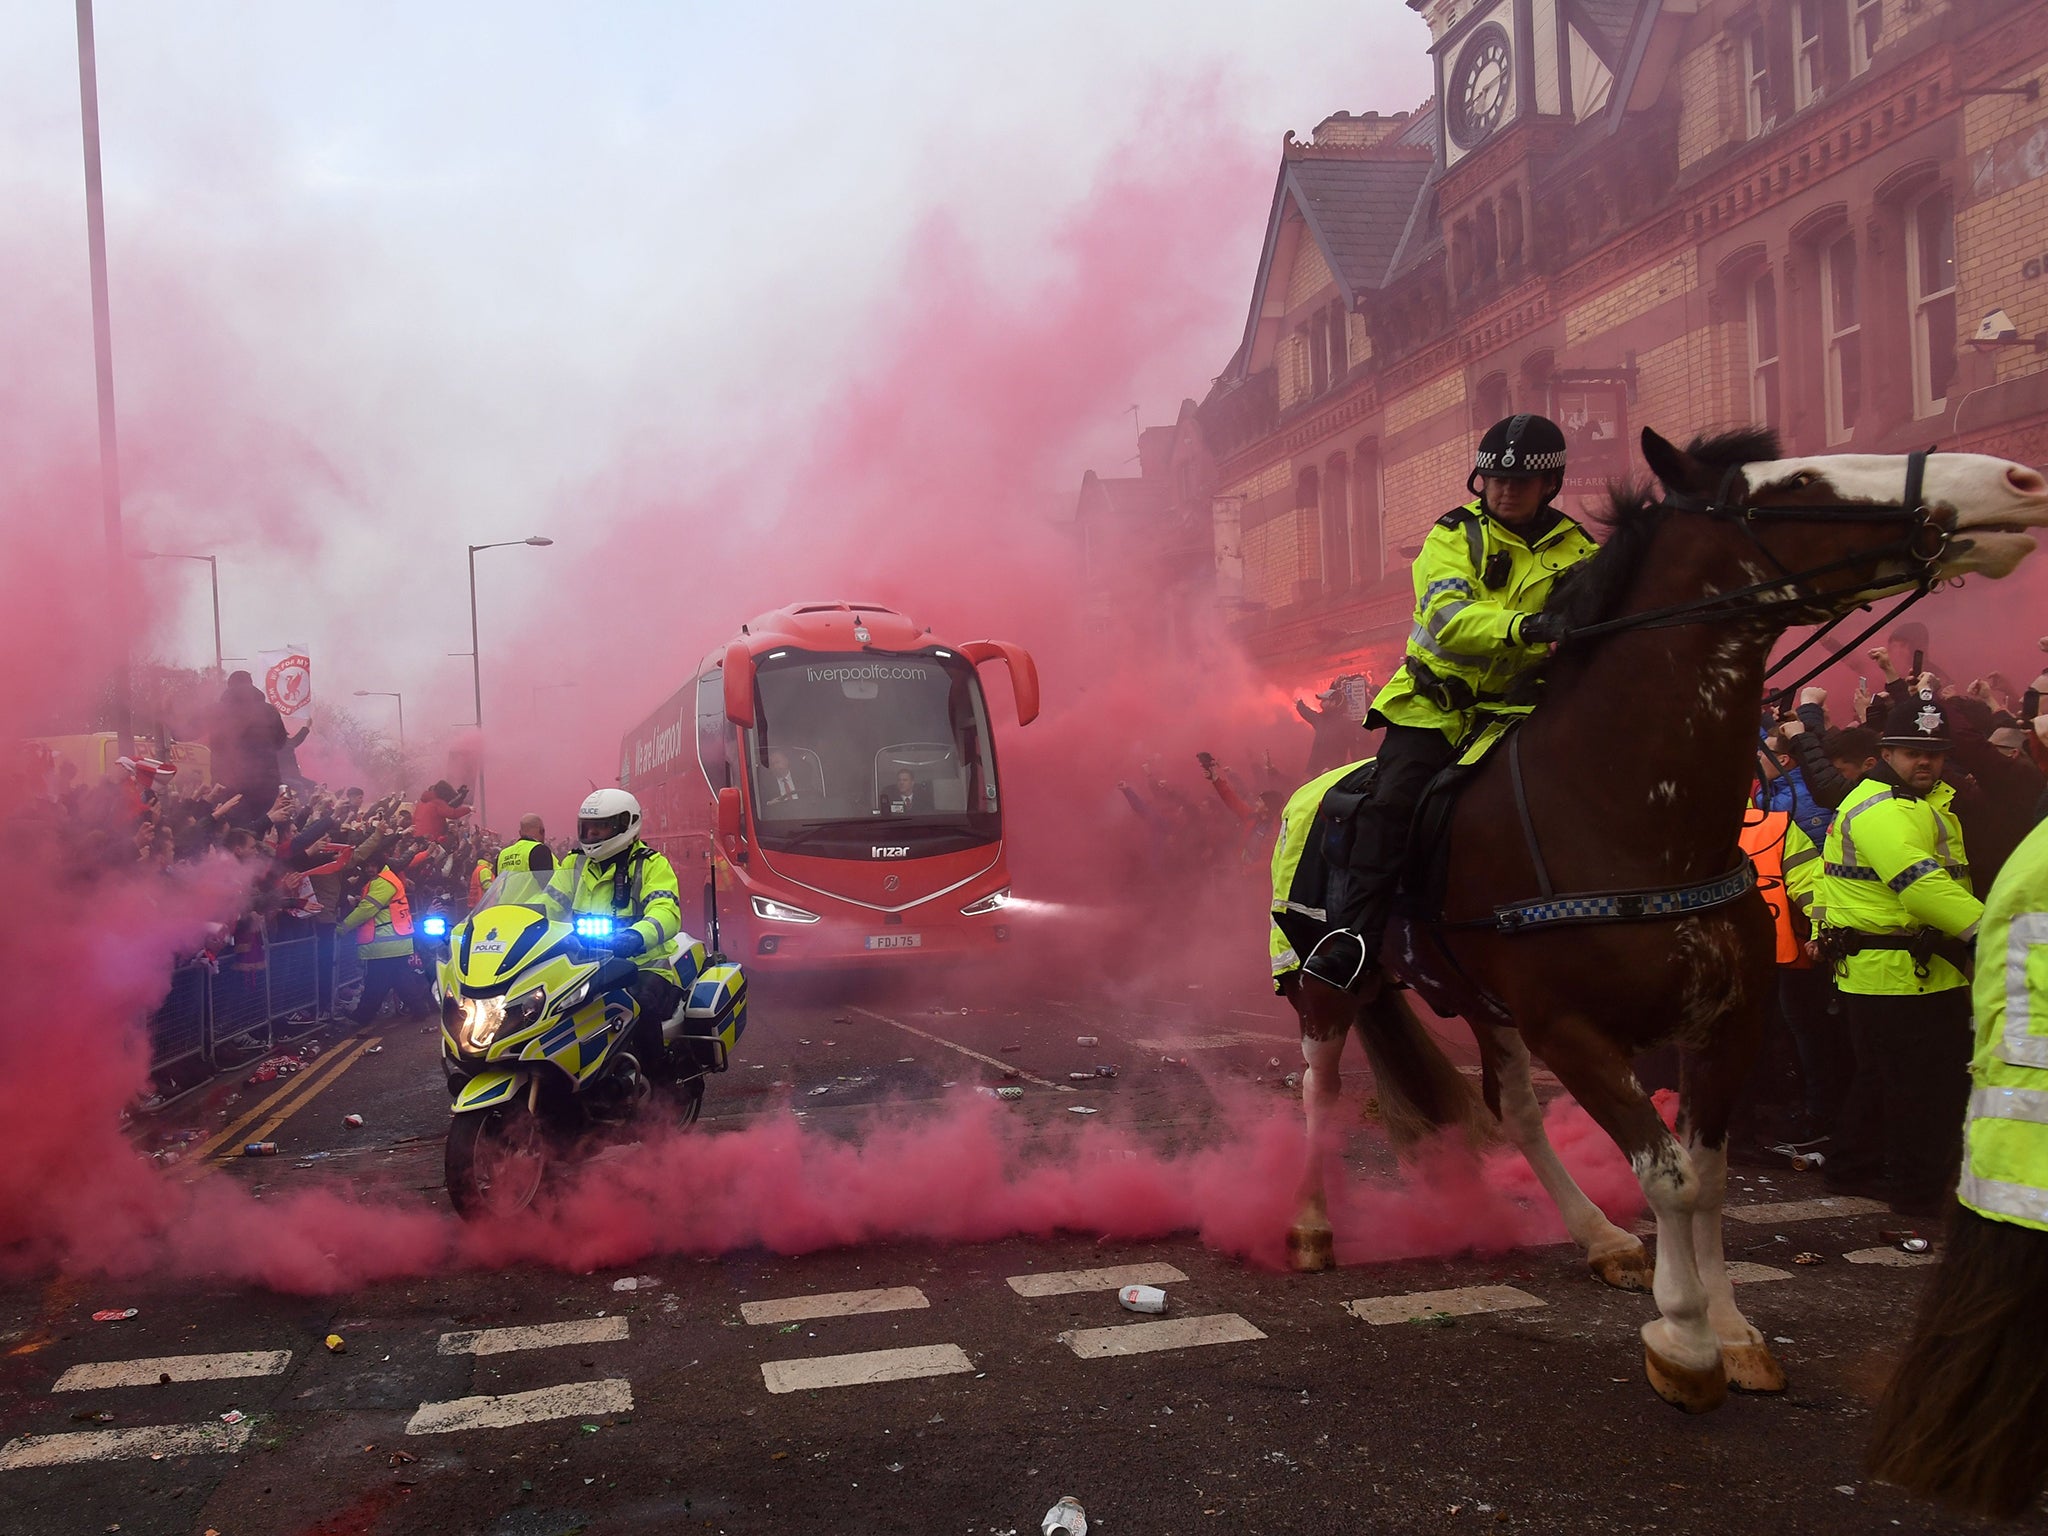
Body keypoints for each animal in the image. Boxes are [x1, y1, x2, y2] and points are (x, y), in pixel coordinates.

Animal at [1286, 428, 2039, 1417]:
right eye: (1795, 482)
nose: (2015, 482)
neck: (1628, 812)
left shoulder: (1726, 1022)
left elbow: (1707, 1178)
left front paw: (1733, 1330)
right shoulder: (1576, 1029)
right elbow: (1669, 1178)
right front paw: (1682, 1339)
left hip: (1486, 1003)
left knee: (1515, 1110)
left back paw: (1598, 1237)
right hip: (1327, 983)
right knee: (1322, 1086)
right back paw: (1310, 1226)